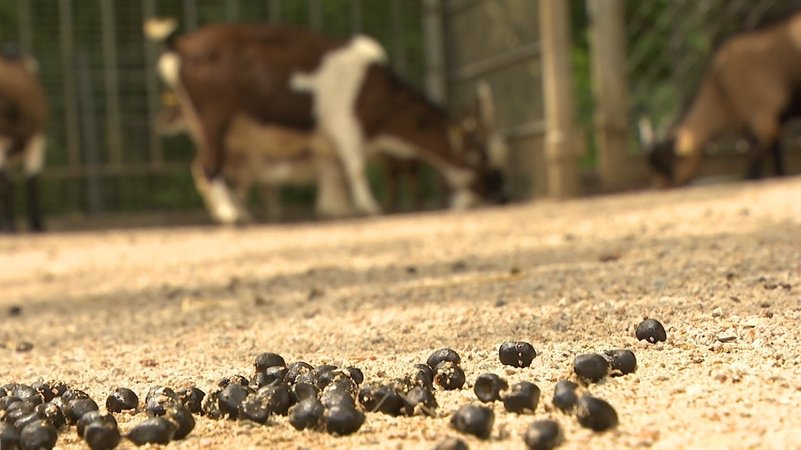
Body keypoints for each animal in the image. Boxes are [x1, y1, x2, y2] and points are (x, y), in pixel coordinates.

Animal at [145, 19, 507, 225]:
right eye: (480, 154)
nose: (500, 193)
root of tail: (180, 43)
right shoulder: (345, 124)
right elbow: (355, 167)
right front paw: (369, 206)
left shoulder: (326, 140)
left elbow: (334, 172)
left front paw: (337, 209)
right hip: (212, 118)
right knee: (208, 167)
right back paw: (231, 214)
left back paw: (240, 211)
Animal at [648, 12, 801, 187]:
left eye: (668, 167)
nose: (658, 188)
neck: (720, 87)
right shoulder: (774, 124)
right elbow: (778, 165)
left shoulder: (763, 120)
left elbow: (752, 173)